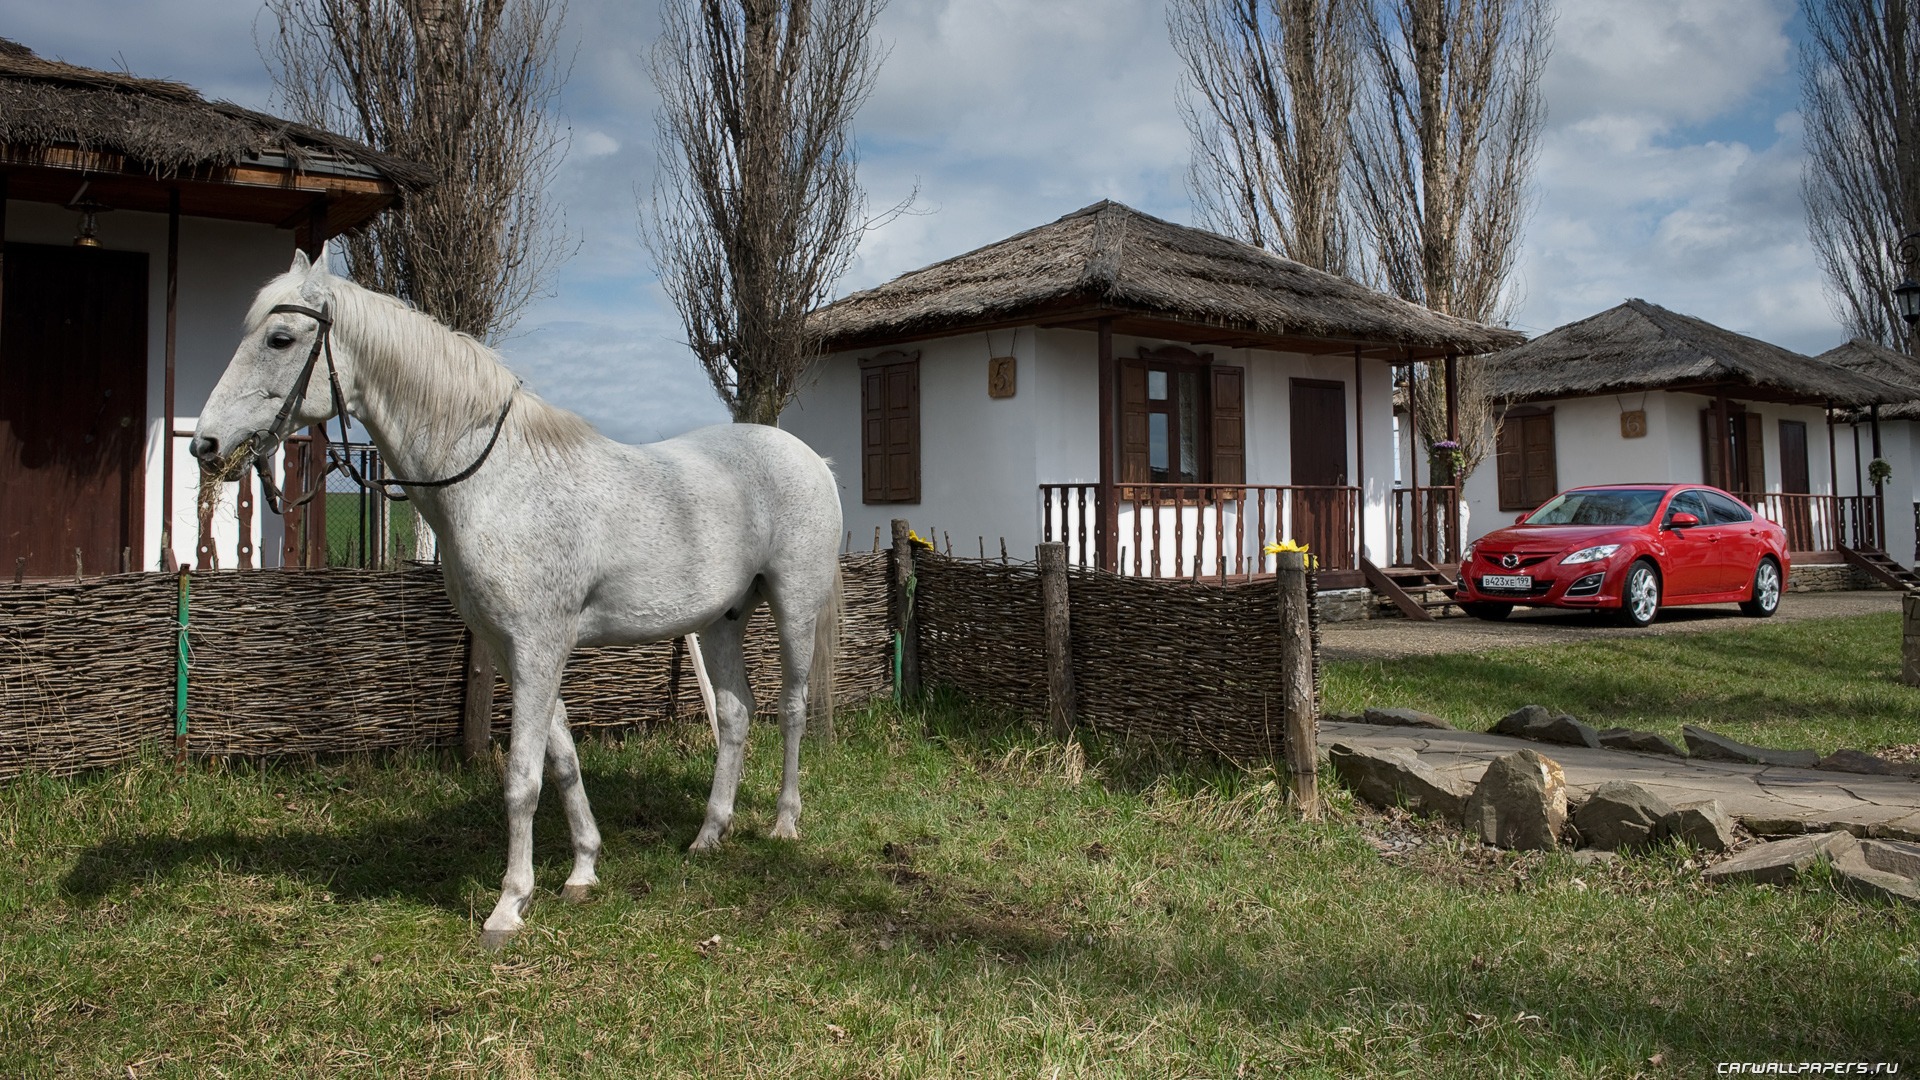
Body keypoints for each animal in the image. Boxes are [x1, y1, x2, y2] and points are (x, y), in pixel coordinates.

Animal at [191, 251, 844, 941]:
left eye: (280, 338)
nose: (205, 445)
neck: (495, 480)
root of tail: (812, 459)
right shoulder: (515, 652)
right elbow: (560, 760)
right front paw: (583, 870)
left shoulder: (537, 646)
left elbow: (522, 779)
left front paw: (510, 904)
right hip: (721, 619)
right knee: (737, 714)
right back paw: (709, 835)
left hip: (794, 608)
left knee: (793, 708)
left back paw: (784, 823)